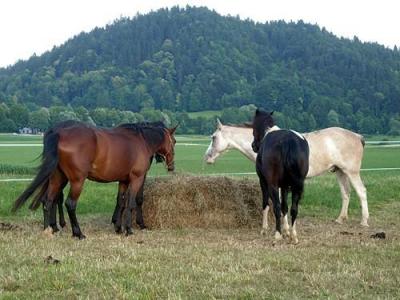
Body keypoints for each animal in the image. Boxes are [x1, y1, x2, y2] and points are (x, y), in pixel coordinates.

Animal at [12, 120, 177, 238]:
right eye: (174, 141)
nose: (171, 166)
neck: (141, 141)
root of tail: (59, 134)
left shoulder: (123, 181)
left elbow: (121, 202)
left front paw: (118, 228)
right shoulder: (137, 179)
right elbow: (132, 202)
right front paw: (129, 229)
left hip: (57, 178)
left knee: (48, 201)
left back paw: (49, 230)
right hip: (77, 181)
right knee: (70, 203)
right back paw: (78, 233)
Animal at [205, 116, 370, 231]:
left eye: (213, 137)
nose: (207, 157)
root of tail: (358, 136)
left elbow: (277, 203)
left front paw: (281, 227)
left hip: (352, 172)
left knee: (361, 192)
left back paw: (364, 221)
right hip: (340, 172)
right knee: (346, 193)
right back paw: (340, 219)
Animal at [253, 110, 310, 244]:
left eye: (253, 125)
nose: (253, 146)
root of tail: (288, 141)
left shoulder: (263, 182)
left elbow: (266, 204)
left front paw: (264, 229)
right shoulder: (284, 186)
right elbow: (285, 206)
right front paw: (287, 231)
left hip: (273, 185)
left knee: (276, 207)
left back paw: (277, 234)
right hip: (297, 185)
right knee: (294, 208)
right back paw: (293, 236)